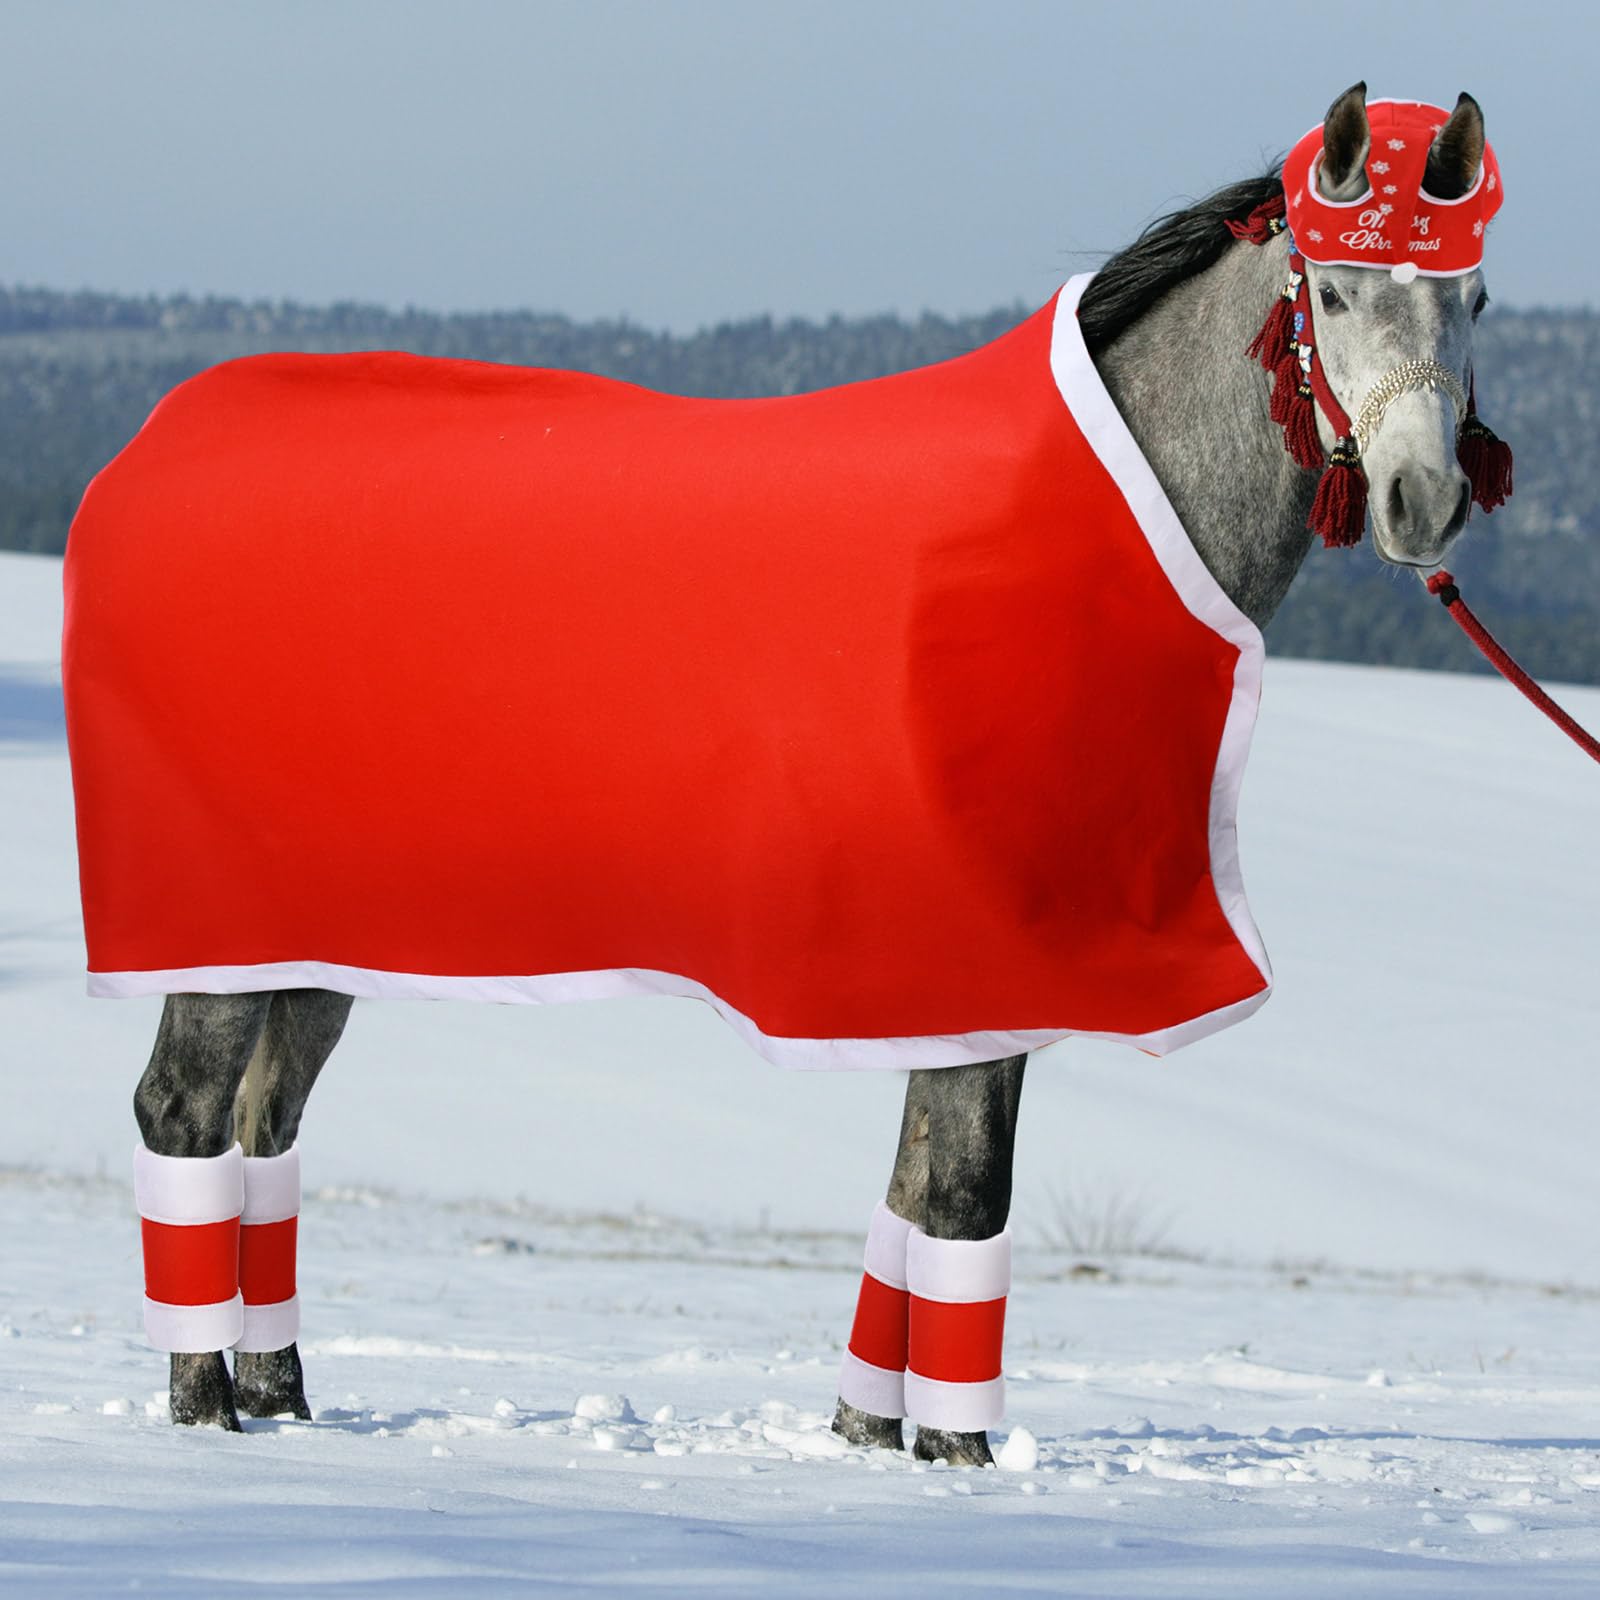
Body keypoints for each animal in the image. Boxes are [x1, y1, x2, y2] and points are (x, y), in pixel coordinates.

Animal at [67, 83, 1501, 1465]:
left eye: (1475, 299)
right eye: (1331, 292)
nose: (1422, 503)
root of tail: (135, 458)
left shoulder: (954, 982)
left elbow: (911, 1188)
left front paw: (866, 1432)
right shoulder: (971, 951)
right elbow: (964, 1191)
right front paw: (957, 1457)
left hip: (314, 930)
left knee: (267, 1114)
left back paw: (282, 1392)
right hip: (209, 922)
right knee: (182, 1108)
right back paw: (205, 1405)